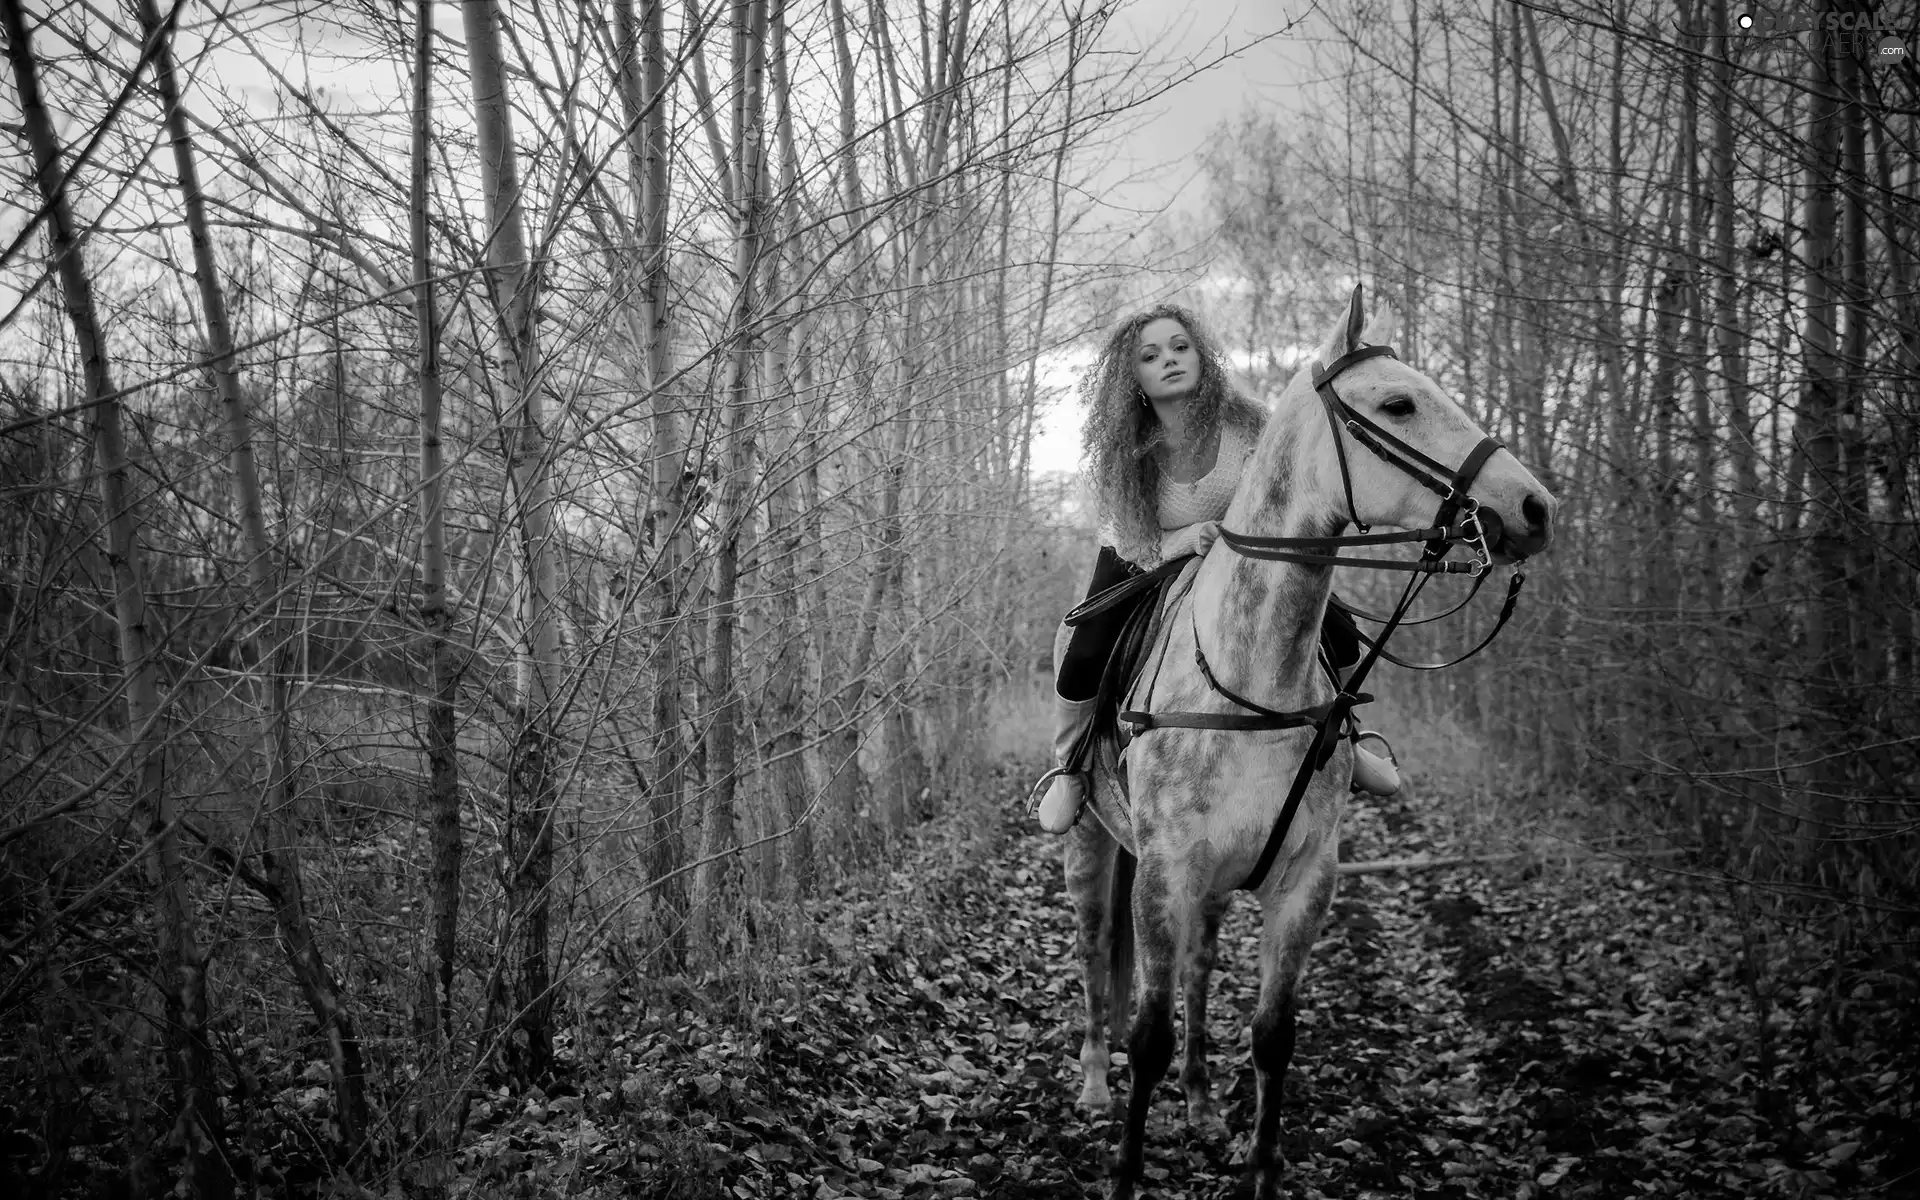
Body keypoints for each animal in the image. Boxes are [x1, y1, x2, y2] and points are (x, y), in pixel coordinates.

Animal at [1067, 282, 1559, 1198]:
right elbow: (1145, 1035)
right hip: (1091, 848)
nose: (1535, 507)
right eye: (1399, 403)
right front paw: (1125, 1172)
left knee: (1198, 975)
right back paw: (1088, 1081)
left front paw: (1256, 1165)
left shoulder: (1304, 881)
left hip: (1215, 891)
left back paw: (1199, 1105)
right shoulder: (1162, 873)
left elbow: (1272, 1036)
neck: (1248, 679)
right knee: (1093, 952)